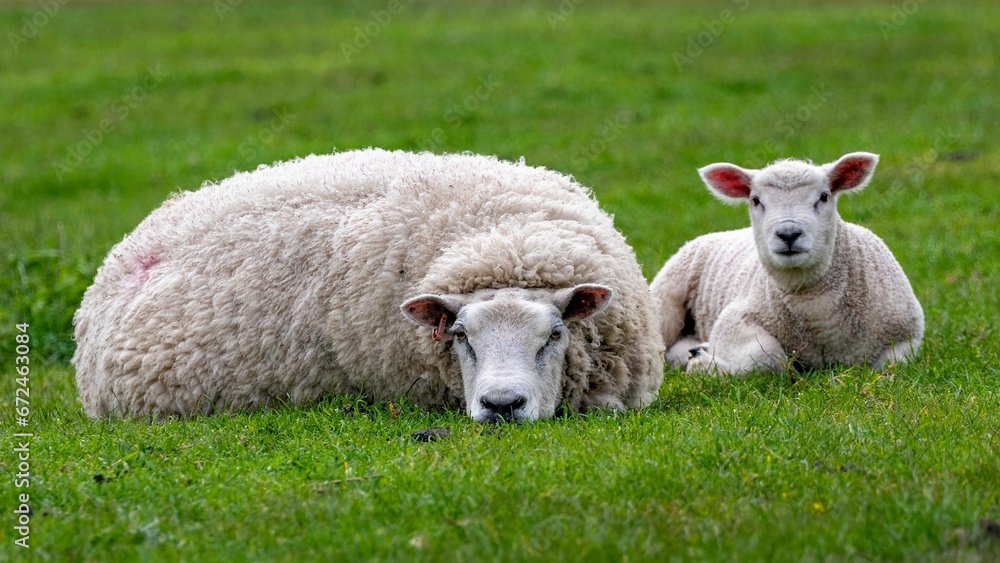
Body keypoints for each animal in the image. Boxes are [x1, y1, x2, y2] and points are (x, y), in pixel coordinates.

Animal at [649, 152, 924, 374]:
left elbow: (892, 364)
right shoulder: (735, 320)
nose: (788, 234)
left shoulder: (905, 337)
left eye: (824, 197)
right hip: (666, 298)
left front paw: (703, 360)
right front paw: (706, 365)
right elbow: (767, 356)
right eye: (756, 200)